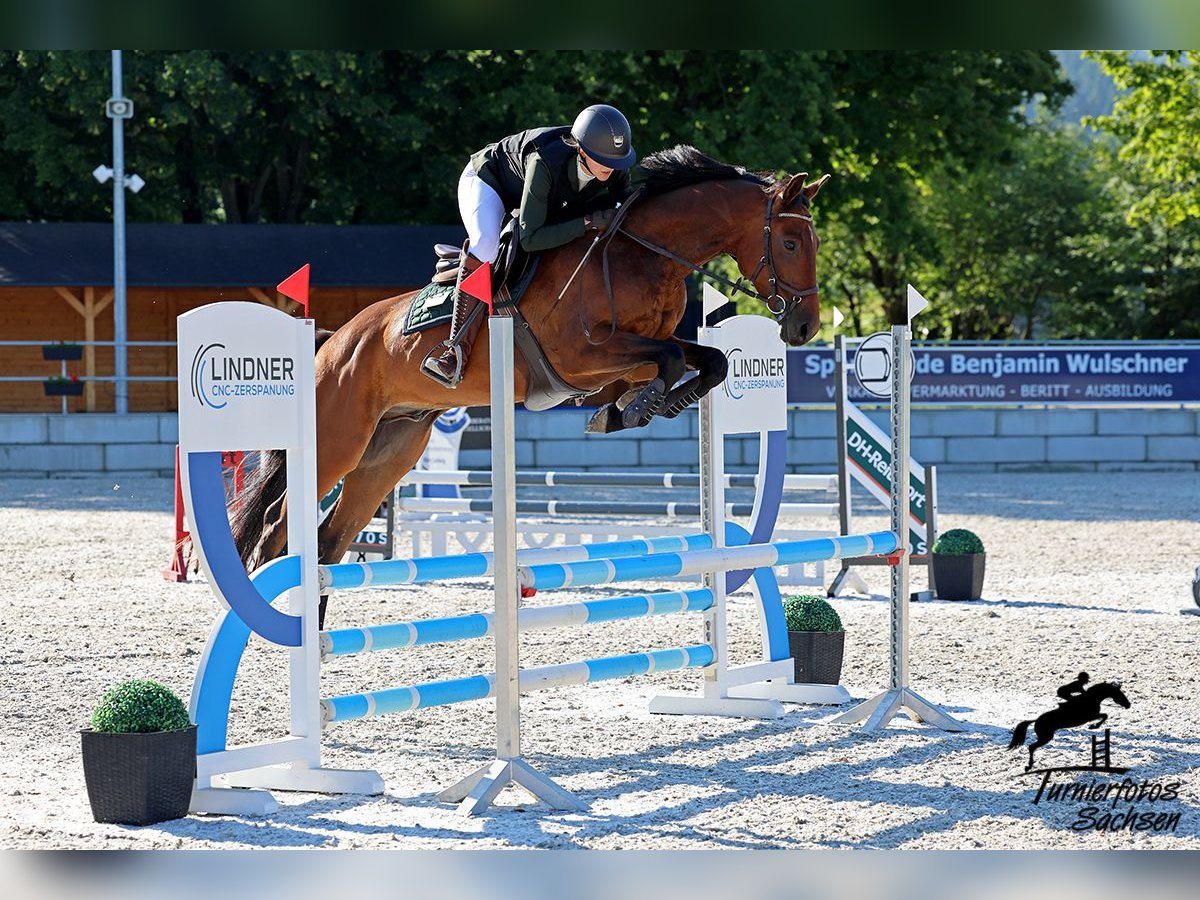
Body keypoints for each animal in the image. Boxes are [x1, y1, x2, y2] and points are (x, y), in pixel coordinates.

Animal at [230, 145, 831, 625]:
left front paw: (639, 406)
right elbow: (664, 361)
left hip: (389, 452)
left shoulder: (628, 355)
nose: (805, 328)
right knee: (279, 524)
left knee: (329, 540)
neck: (640, 252)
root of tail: (331, 342)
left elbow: (706, 362)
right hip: (338, 442)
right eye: (792, 242)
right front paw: (632, 409)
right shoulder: (583, 357)